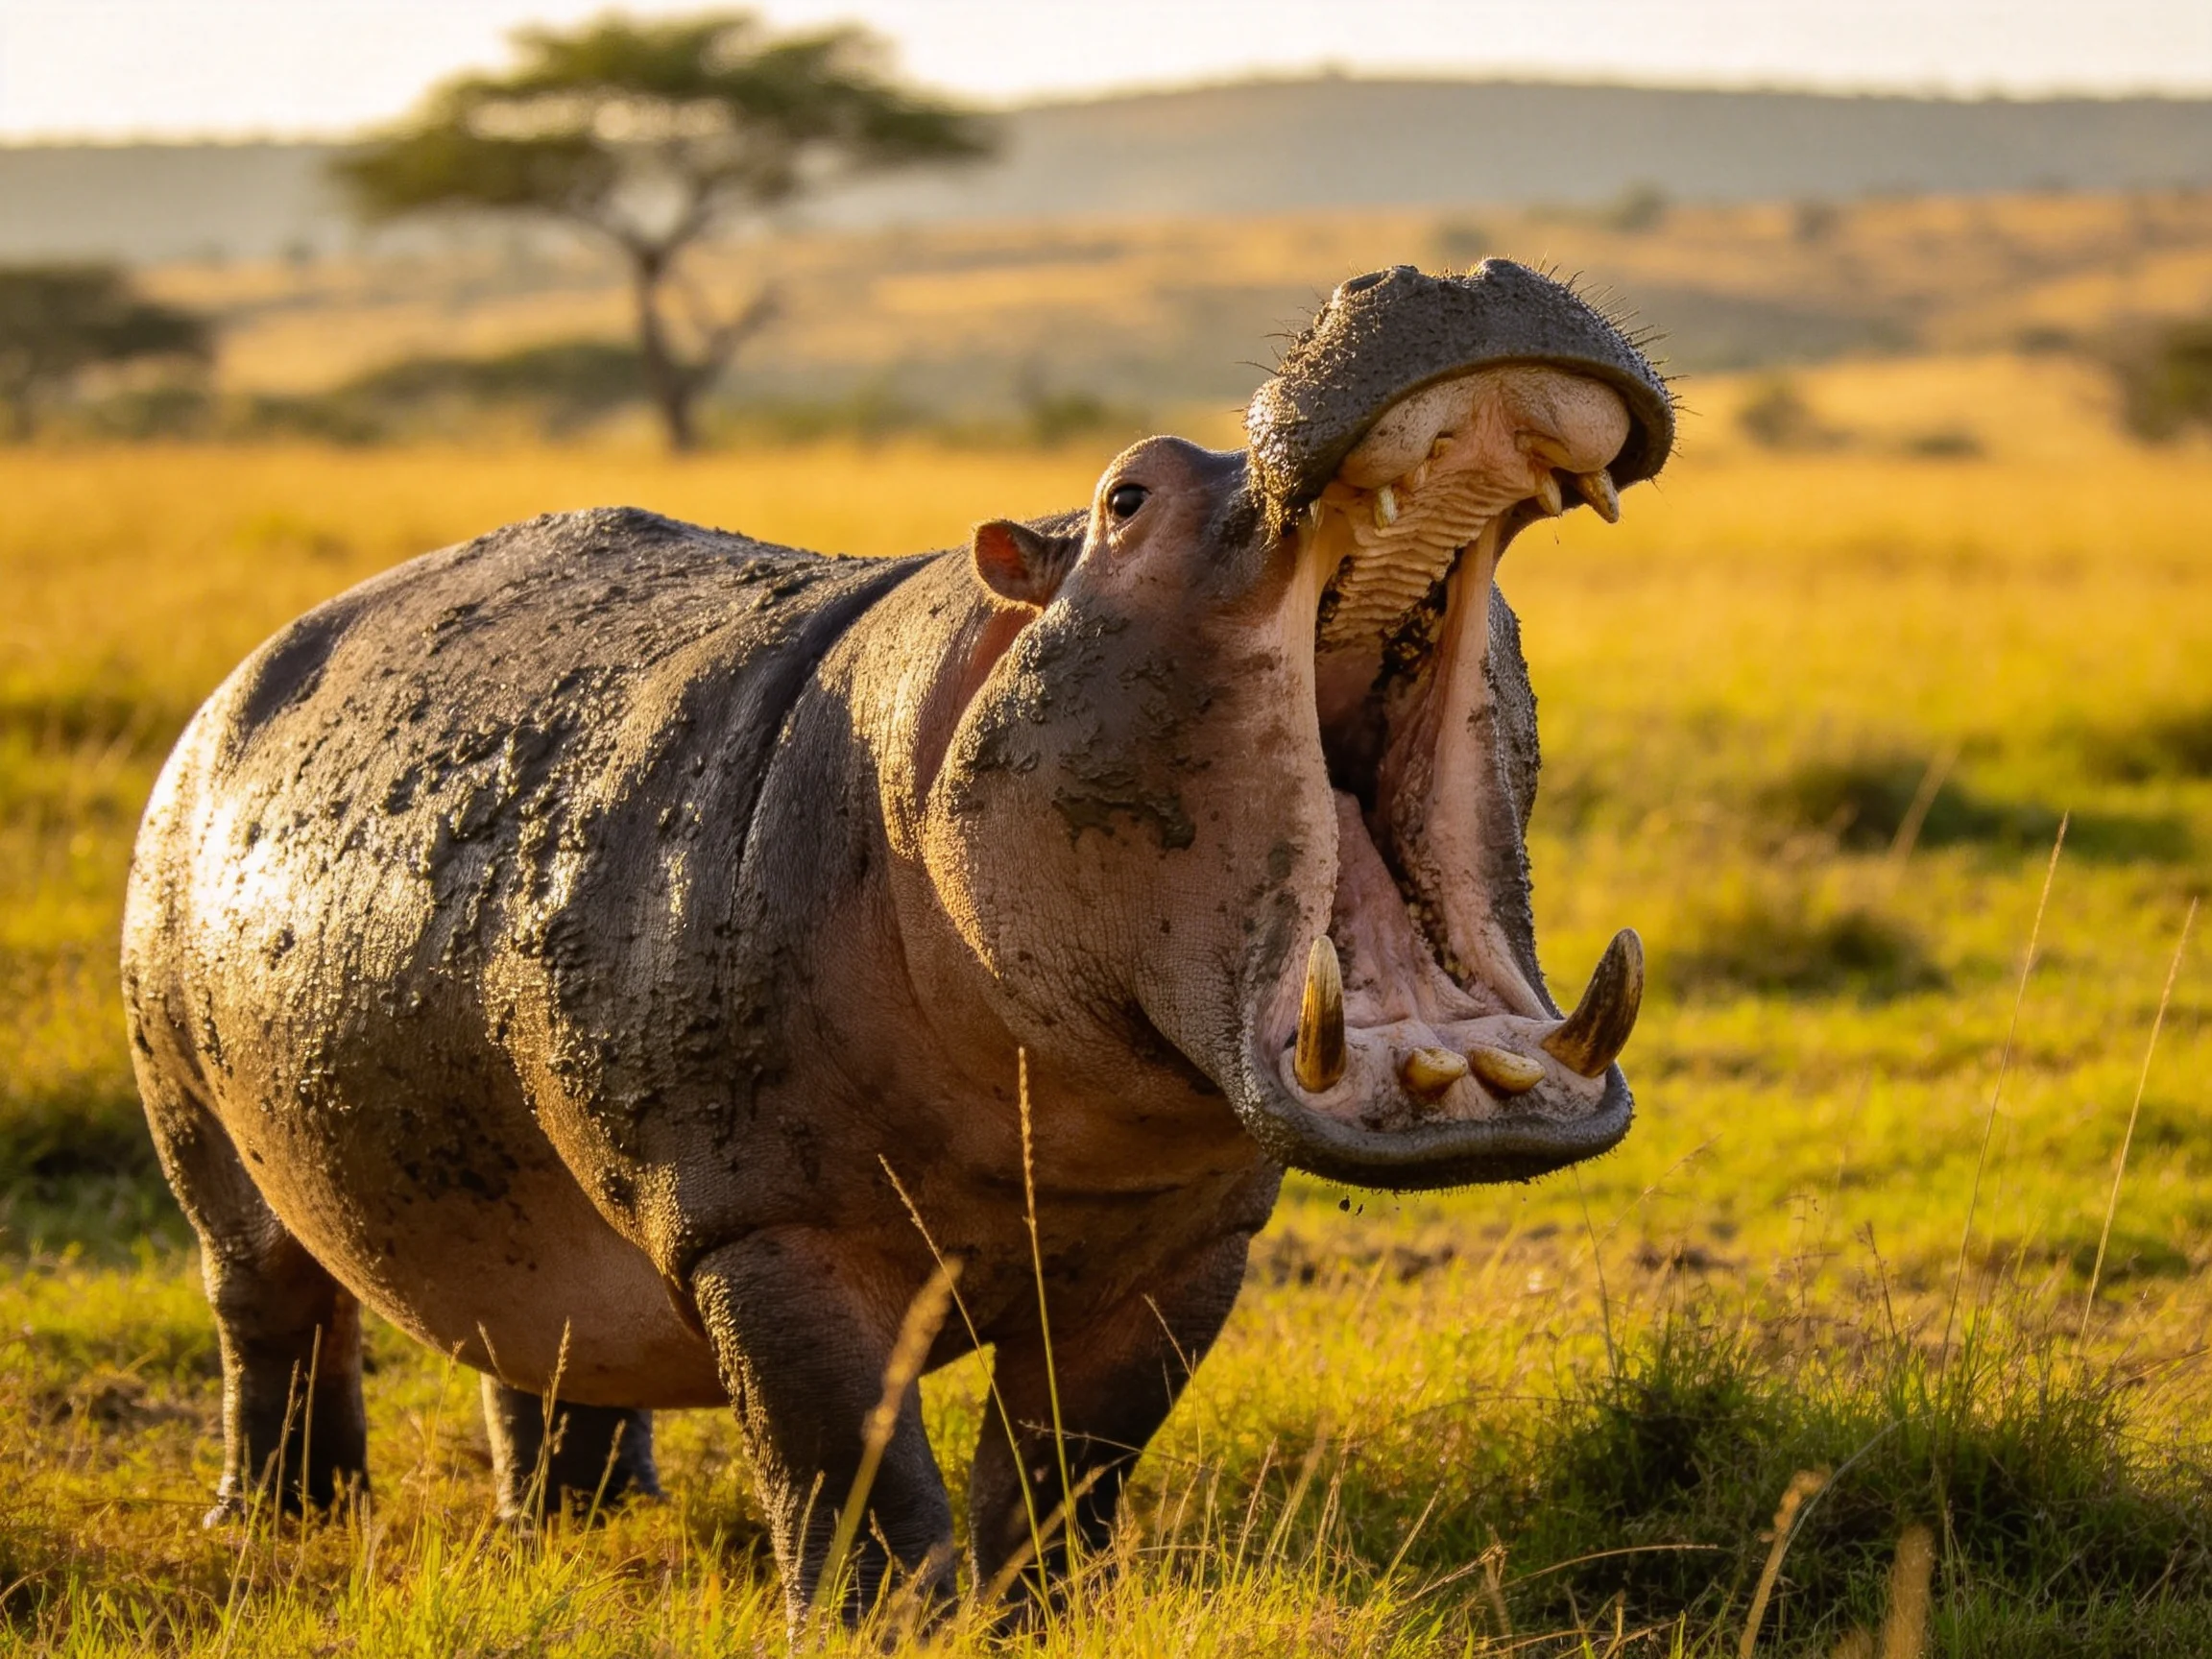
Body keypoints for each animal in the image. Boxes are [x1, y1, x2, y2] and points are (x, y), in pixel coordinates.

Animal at [121, 261, 1672, 1621]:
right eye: (1127, 494)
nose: (1448, 275)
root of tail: (238, 679)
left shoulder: (1183, 1246)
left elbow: (1067, 1469)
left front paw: (1043, 1618)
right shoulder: (765, 1229)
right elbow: (844, 1463)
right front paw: (888, 1624)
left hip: (510, 1194)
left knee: (544, 1353)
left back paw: (578, 1524)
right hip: (197, 1124)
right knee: (272, 1314)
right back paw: (278, 1525)